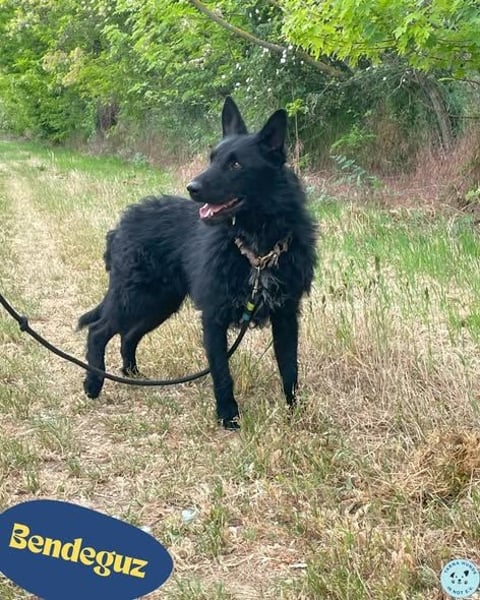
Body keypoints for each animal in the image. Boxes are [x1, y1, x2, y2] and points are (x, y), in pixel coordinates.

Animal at [78, 97, 317, 429]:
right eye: (212, 158)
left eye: (235, 164)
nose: (192, 188)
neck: (256, 248)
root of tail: (120, 226)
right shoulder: (213, 317)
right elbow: (222, 373)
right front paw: (228, 416)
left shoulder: (286, 316)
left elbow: (290, 370)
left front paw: (297, 416)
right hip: (133, 296)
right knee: (98, 330)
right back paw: (94, 383)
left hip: (158, 303)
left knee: (128, 335)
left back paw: (133, 374)